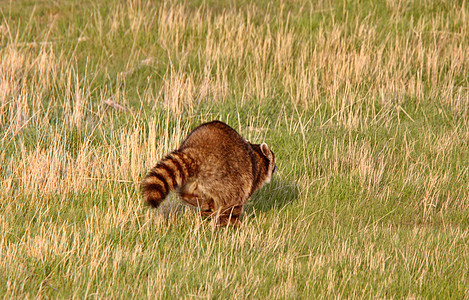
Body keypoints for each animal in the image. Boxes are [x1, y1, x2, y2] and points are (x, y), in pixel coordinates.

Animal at [141, 120, 276, 226]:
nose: (276, 167)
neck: (256, 154)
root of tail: (197, 152)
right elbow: (233, 207)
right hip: (226, 178)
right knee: (232, 202)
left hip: (193, 180)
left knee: (188, 194)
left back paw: (202, 204)